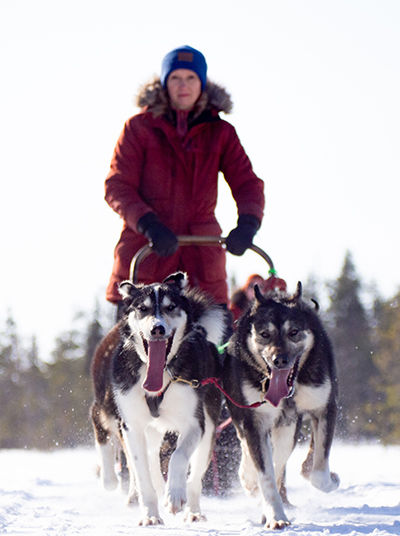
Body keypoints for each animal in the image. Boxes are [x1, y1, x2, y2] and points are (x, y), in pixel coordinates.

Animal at [92, 274, 227, 524]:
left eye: (170, 307)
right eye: (142, 309)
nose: (157, 329)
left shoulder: (195, 424)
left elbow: (178, 457)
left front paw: (174, 495)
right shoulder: (132, 427)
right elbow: (142, 474)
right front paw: (150, 515)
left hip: (209, 431)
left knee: (194, 478)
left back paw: (193, 510)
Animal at [220, 282, 340, 528]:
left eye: (293, 332)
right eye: (265, 334)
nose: (280, 360)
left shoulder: (324, 409)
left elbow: (318, 474)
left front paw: (329, 478)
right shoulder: (254, 421)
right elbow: (266, 476)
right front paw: (276, 517)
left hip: (288, 428)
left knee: (280, 458)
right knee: (248, 449)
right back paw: (249, 480)